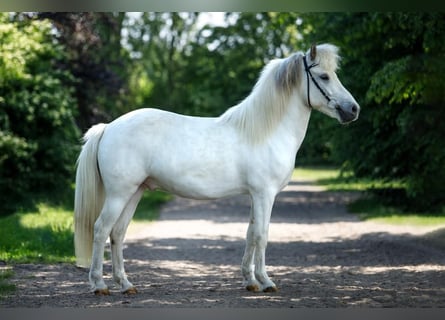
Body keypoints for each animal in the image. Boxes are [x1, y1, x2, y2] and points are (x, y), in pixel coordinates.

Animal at [73, 42, 358, 296]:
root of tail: (108, 127)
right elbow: (262, 235)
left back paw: (126, 285)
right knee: (101, 229)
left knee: (117, 233)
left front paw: (250, 281)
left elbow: (250, 234)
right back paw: (99, 285)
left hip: (135, 192)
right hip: (119, 194)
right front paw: (266, 281)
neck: (265, 131)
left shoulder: (255, 195)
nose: (353, 109)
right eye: (324, 76)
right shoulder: (265, 194)